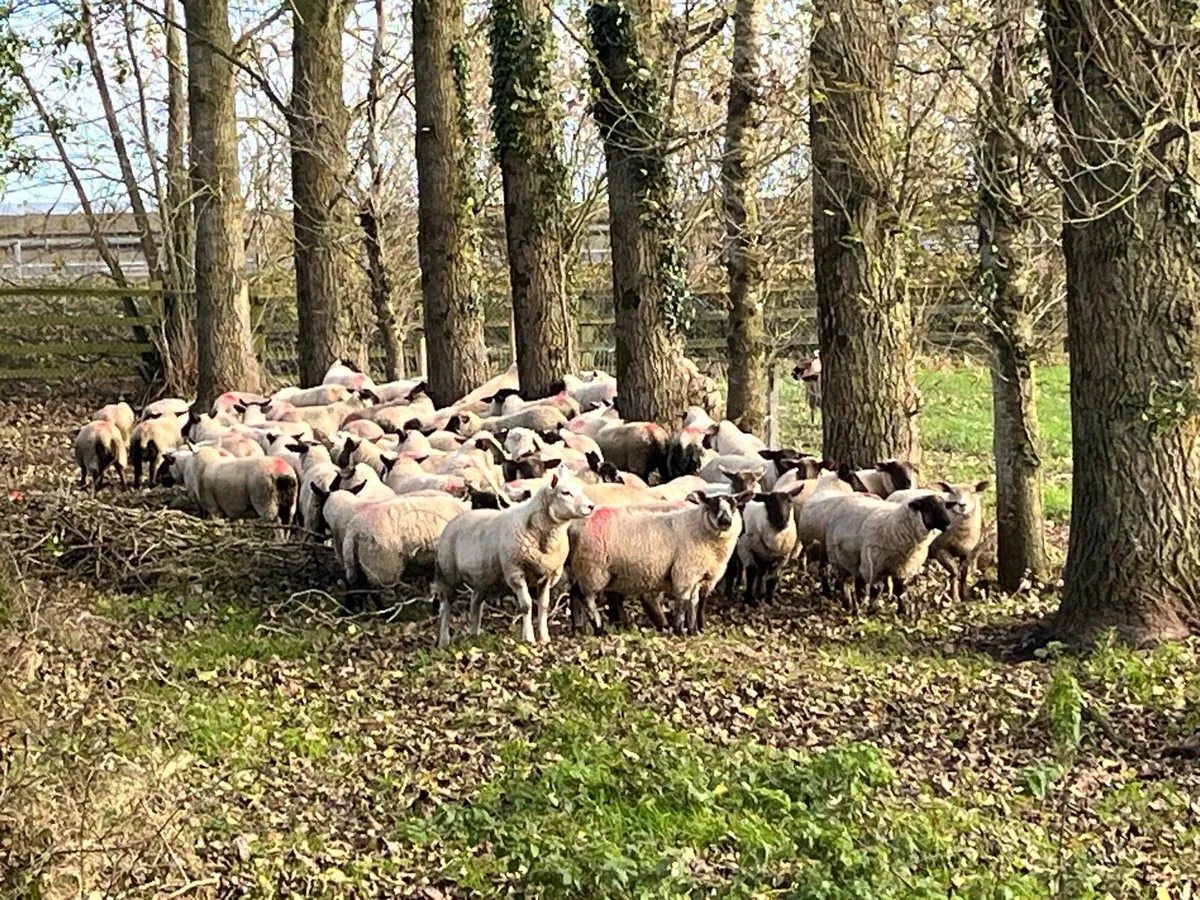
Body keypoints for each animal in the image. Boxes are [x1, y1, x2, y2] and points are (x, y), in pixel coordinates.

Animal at [434, 463, 595, 646]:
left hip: (482, 577)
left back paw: (474, 634)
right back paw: (444, 640)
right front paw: (529, 638)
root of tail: (454, 520)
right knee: (446, 607)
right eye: (565, 492)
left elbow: (544, 605)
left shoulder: (547, 575)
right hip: (447, 574)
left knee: (476, 602)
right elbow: (526, 605)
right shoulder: (515, 571)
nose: (591, 506)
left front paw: (544, 637)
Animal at [567, 491, 743, 636]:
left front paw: (694, 630)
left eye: (734, 506)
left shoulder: (699, 576)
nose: (725, 521)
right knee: (586, 598)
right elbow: (683, 601)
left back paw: (579, 628)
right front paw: (680, 630)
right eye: (712, 505)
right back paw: (599, 629)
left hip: (590, 570)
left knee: (575, 592)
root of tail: (573, 527)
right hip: (592, 569)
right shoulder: (685, 573)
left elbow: (695, 603)